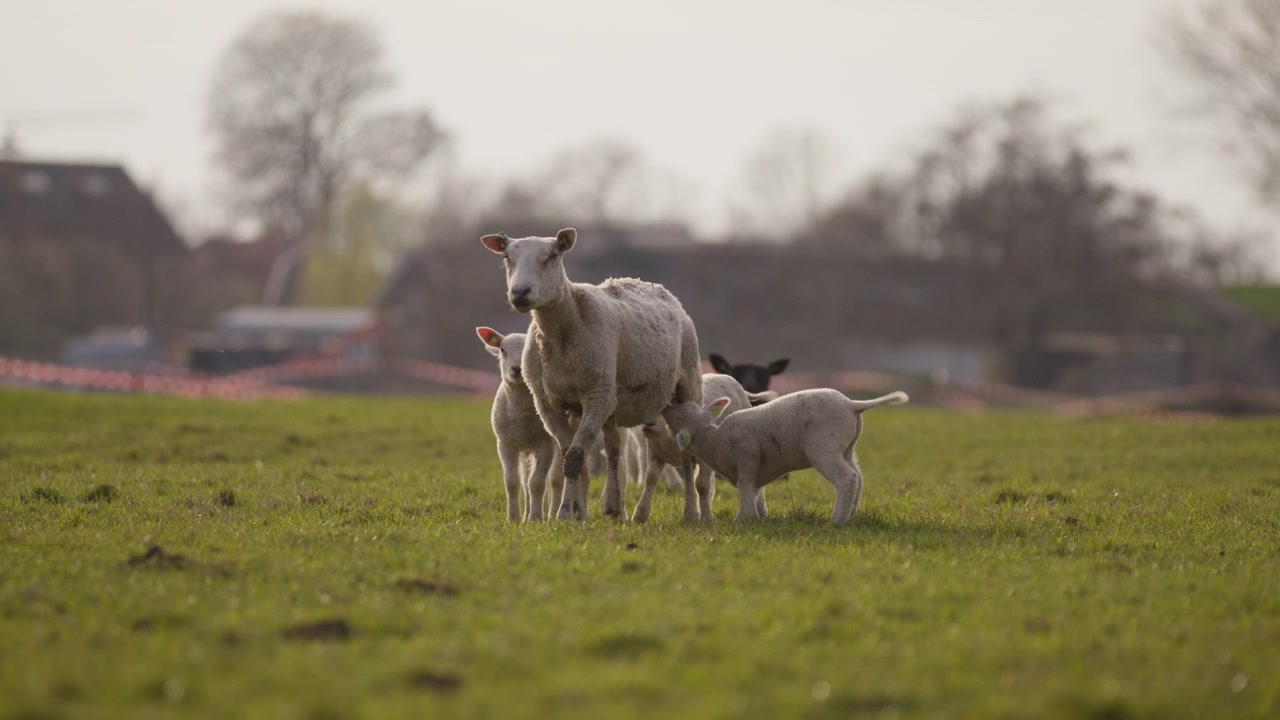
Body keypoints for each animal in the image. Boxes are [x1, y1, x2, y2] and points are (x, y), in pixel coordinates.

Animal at [475, 326, 563, 521]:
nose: (517, 369)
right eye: (502, 350)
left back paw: (552, 514)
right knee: (526, 482)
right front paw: (514, 519)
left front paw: (536, 518)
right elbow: (512, 482)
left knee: (556, 479)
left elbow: (537, 482)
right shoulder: (505, 444)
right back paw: (529, 515)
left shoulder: (545, 443)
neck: (520, 416)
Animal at [632, 372, 778, 522]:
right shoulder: (656, 453)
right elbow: (651, 478)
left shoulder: (703, 453)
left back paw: (762, 511)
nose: (649, 424)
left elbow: (701, 485)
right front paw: (640, 515)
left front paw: (704, 517)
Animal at [663, 389, 909, 523]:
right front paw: (742, 518)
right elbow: (752, 491)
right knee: (858, 476)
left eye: (677, 418)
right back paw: (852, 515)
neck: (715, 440)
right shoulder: (755, 472)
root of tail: (851, 404)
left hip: (824, 448)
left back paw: (837, 521)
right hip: (846, 448)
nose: (666, 406)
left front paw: (748, 520)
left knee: (847, 478)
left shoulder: (748, 457)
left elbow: (745, 487)